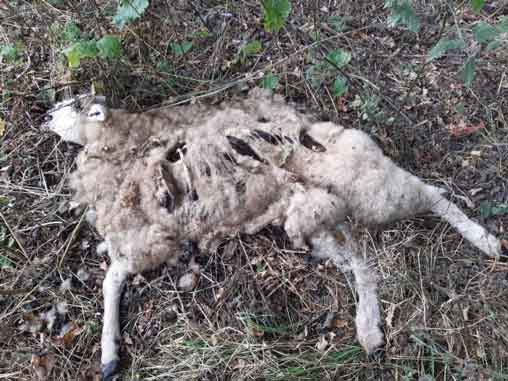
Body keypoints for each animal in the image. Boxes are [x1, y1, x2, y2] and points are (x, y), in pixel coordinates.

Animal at [42, 88, 500, 378]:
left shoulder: (147, 238)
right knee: (361, 261)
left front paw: (108, 355)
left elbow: (109, 282)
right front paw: (109, 355)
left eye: (74, 103)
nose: (46, 114)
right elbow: (112, 280)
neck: (123, 146)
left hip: (364, 185)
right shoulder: (144, 239)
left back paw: (487, 241)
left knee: (430, 193)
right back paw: (369, 331)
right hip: (316, 214)